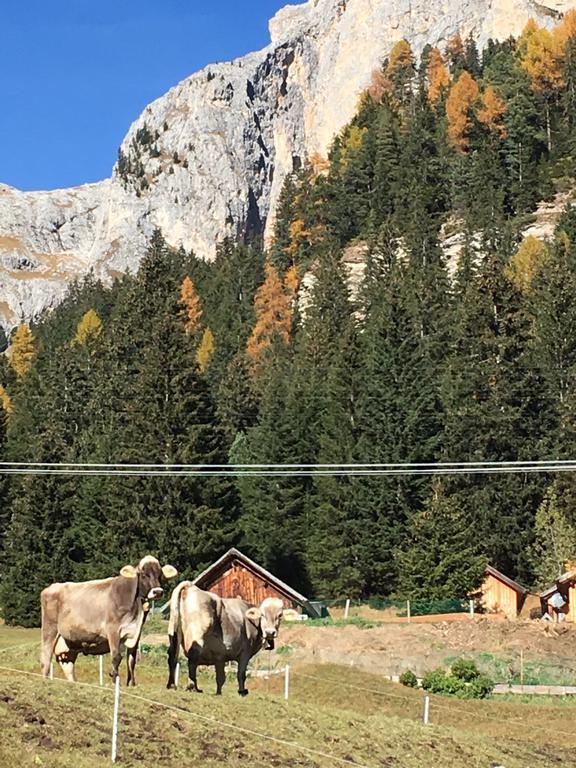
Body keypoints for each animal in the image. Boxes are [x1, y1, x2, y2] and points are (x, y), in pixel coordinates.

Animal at [40, 556, 177, 688]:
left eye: (160, 575)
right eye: (143, 574)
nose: (158, 592)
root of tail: (51, 587)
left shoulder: (136, 633)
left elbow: (131, 659)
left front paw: (131, 683)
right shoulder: (113, 630)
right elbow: (116, 656)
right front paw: (115, 679)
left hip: (70, 642)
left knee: (67, 665)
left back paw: (74, 683)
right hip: (50, 629)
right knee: (46, 655)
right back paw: (45, 678)